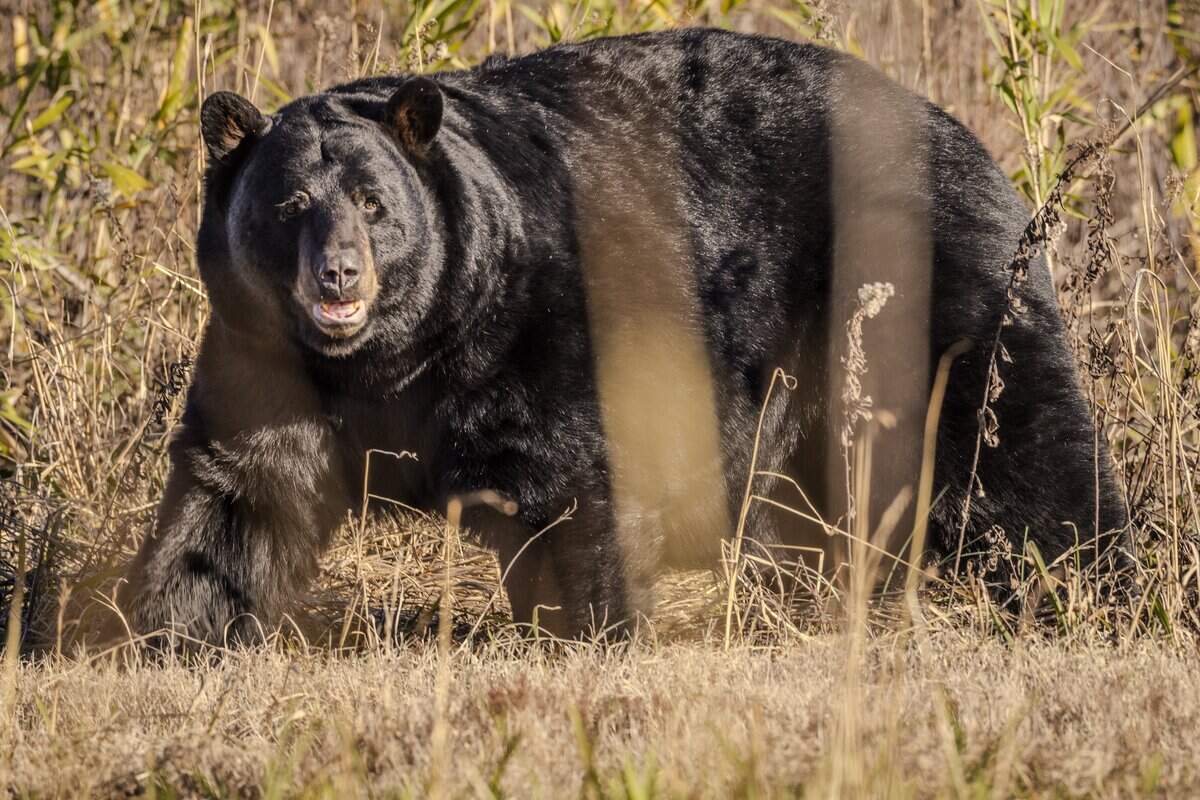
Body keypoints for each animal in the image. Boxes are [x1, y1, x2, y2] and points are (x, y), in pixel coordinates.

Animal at [120, 27, 1128, 645]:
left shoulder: (545, 329)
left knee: (1010, 448)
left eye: (373, 203)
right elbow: (241, 495)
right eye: (290, 204)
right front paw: (166, 629)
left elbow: (584, 480)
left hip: (917, 294)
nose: (338, 276)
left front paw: (594, 628)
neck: (393, 362)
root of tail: (968, 137)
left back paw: (1087, 581)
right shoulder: (266, 357)